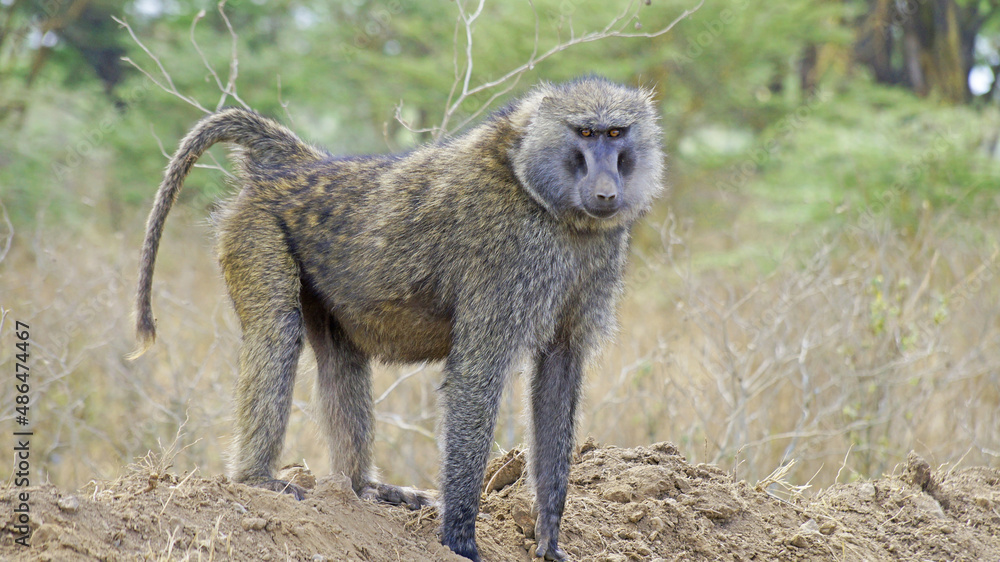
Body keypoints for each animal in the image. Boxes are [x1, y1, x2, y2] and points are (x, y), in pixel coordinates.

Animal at [130, 77, 663, 561]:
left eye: (616, 134)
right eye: (585, 133)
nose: (606, 192)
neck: (542, 196)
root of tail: (297, 165)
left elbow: (559, 370)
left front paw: (549, 538)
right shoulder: (505, 262)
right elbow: (477, 374)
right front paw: (459, 540)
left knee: (341, 359)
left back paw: (362, 488)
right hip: (255, 232)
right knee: (277, 334)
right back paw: (257, 480)